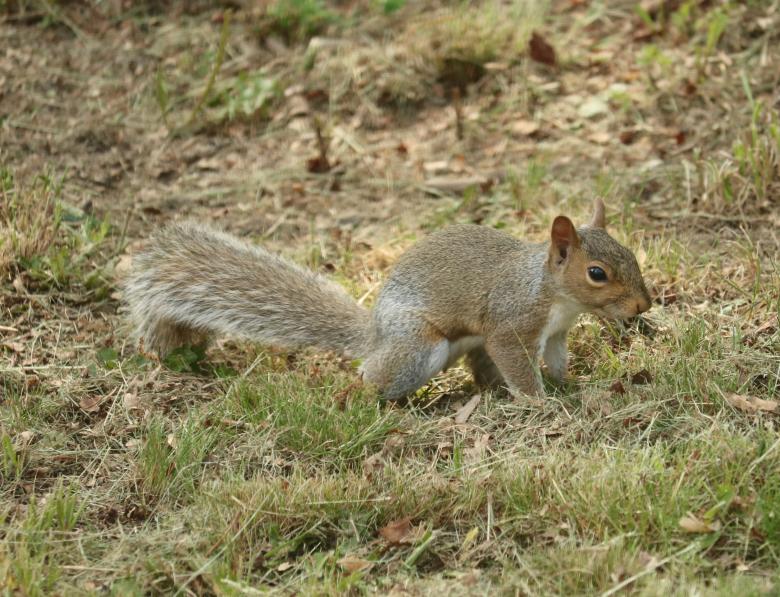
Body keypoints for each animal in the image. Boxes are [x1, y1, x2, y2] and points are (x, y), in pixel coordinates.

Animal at [124, 199, 651, 400]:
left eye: (630, 254)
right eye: (597, 273)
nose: (643, 307)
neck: (552, 292)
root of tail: (375, 335)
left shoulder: (556, 332)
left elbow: (557, 360)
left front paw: (569, 384)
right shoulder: (509, 323)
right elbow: (519, 366)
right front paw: (541, 402)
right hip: (418, 347)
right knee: (372, 378)